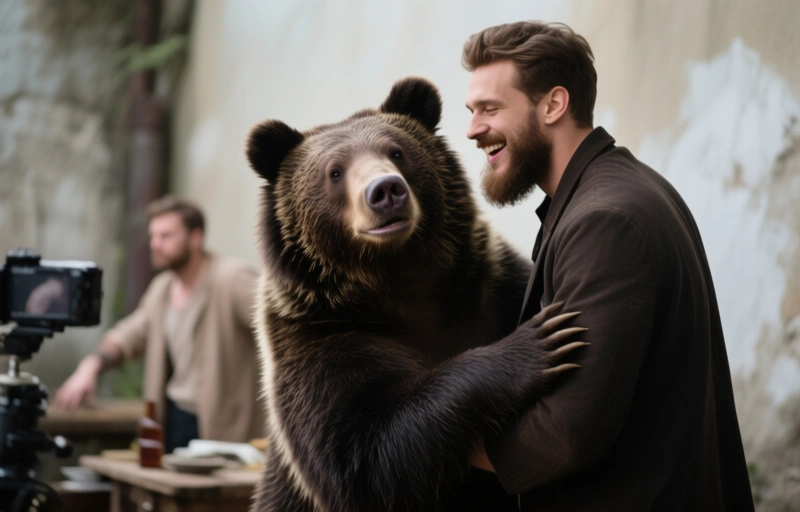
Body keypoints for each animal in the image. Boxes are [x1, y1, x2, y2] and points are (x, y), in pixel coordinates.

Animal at [246, 77, 586, 512]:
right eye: (335, 171)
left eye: (396, 151)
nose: (386, 190)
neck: (397, 282)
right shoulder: (318, 339)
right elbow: (364, 451)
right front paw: (535, 345)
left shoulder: (489, 287)